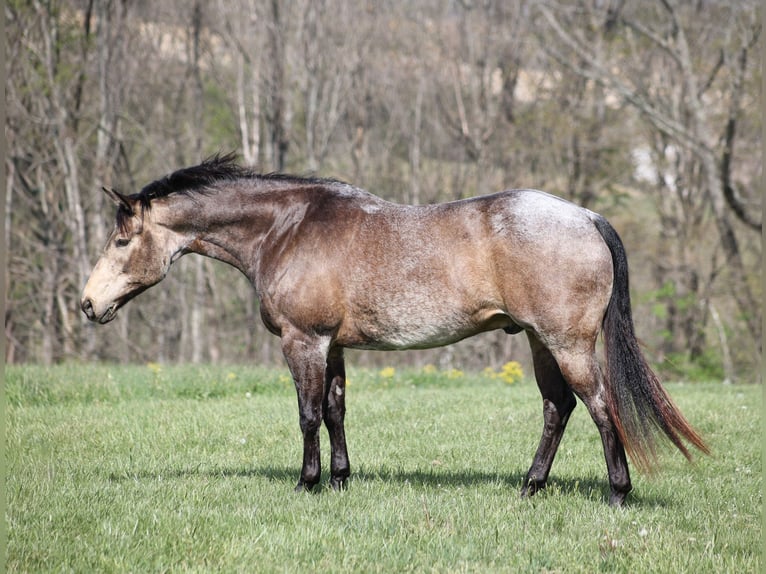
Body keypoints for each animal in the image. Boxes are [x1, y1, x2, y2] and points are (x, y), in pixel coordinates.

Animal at [81, 152, 708, 506]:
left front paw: (306, 483)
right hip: (537, 342)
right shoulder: (331, 345)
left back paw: (618, 494)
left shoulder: (304, 341)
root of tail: (585, 216)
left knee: (601, 407)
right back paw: (530, 488)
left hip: (566, 342)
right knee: (559, 409)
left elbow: (307, 414)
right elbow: (335, 411)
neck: (289, 227)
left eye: (122, 240)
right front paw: (339, 481)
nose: (87, 304)